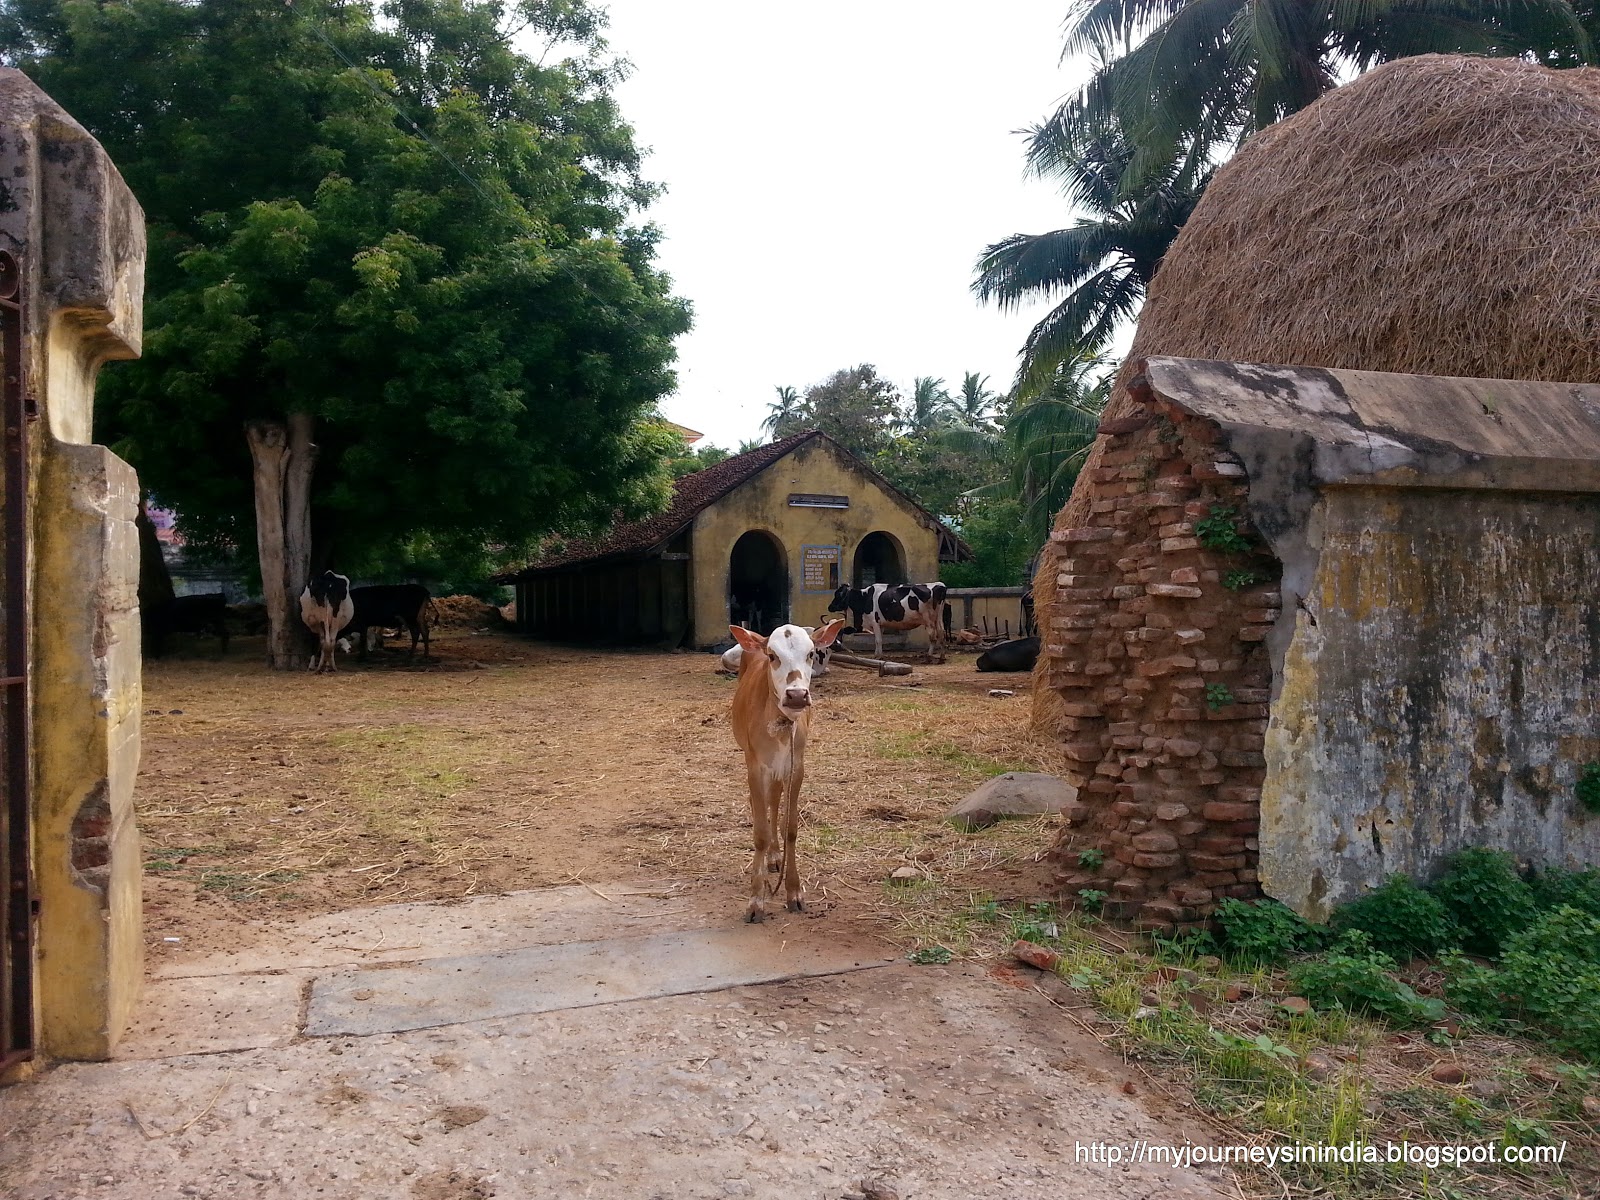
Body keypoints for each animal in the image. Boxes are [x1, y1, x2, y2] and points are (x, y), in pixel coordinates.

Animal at [729, 620, 851, 921]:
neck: (781, 726)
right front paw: (756, 900)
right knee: (761, 803)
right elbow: (760, 832)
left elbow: (791, 828)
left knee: (774, 800)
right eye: (773, 656)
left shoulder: (797, 767)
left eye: (811, 654)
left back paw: (775, 857)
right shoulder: (755, 764)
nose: (796, 695)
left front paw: (794, 892)